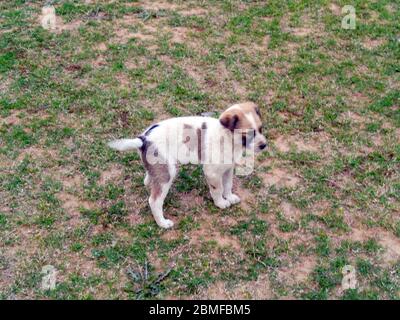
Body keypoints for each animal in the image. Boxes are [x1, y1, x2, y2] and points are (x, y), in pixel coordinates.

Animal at [108, 101, 268, 229]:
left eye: (261, 129)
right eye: (248, 134)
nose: (264, 146)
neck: (227, 137)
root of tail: (143, 139)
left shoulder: (228, 168)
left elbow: (228, 185)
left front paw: (229, 197)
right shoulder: (212, 172)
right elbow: (218, 189)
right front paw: (221, 203)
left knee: (149, 177)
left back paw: (148, 181)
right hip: (168, 172)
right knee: (154, 201)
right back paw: (162, 223)